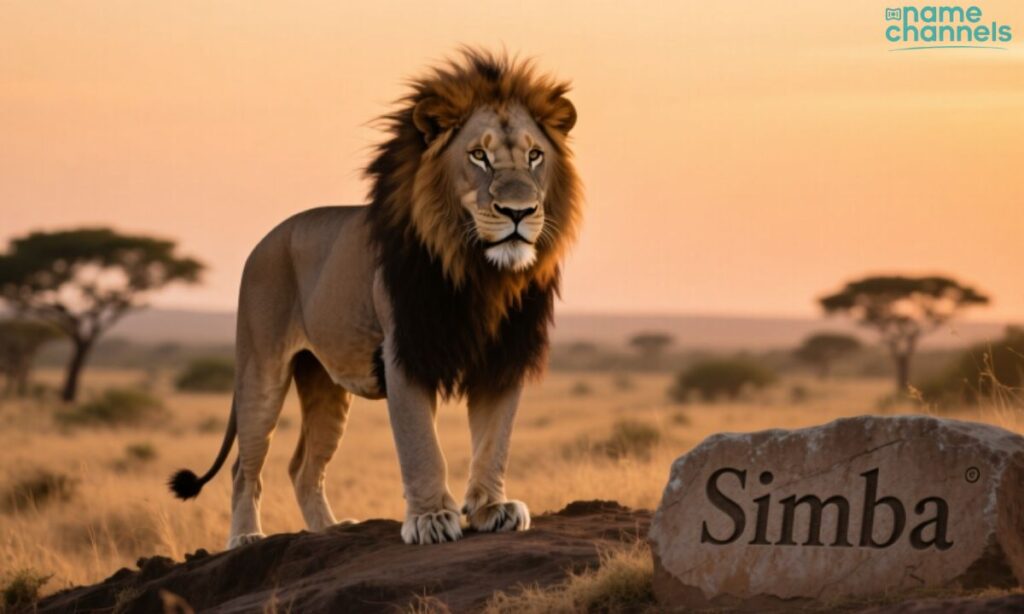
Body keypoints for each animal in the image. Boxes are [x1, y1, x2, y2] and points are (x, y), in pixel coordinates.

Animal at [168, 49, 581, 548]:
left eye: (535, 155)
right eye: (479, 156)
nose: (518, 212)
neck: (481, 273)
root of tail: (265, 239)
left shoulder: (503, 356)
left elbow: (494, 440)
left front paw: (491, 508)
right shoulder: (403, 351)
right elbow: (421, 444)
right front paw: (430, 518)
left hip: (323, 384)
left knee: (303, 467)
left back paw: (332, 530)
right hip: (261, 370)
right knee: (243, 467)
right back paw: (246, 537)